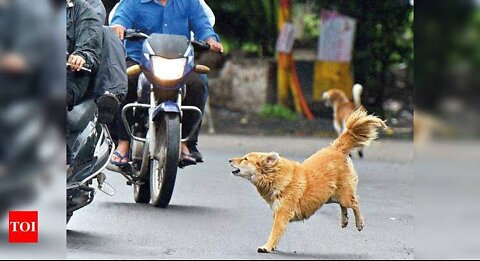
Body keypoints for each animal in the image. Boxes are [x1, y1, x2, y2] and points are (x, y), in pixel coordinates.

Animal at [229, 109, 386, 252]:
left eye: (245, 158)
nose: (229, 160)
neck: (274, 176)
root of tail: (336, 149)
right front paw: (271, 247)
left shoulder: (282, 214)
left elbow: (274, 232)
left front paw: (266, 247)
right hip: (331, 195)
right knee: (344, 205)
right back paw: (344, 219)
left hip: (343, 195)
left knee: (354, 202)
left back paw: (359, 223)